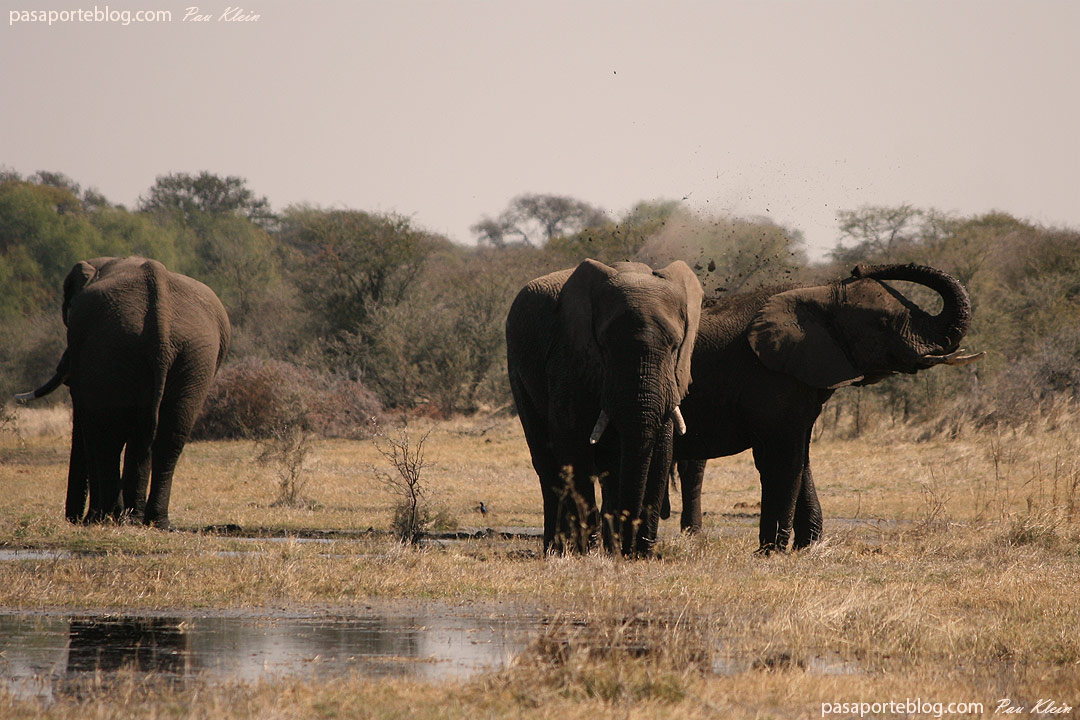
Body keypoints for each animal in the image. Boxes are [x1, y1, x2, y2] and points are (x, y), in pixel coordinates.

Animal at [16, 257, 231, 529]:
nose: (72, 520)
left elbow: (90, 426)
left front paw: (95, 518)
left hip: (116, 348)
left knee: (108, 437)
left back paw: (111, 517)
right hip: (194, 355)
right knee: (167, 436)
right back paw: (150, 521)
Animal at [506, 258, 703, 556]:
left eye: (675, 346)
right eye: (605, 348)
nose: (629, 547)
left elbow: (661, 450)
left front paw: (641, 554)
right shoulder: (570, 358)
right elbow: (572, 444)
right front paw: (586, 552)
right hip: (517, 369)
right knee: (545, 459)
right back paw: (557, 549)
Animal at [672, 263, 982, 553]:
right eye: (884, 323)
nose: (858, 267)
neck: (820, 293)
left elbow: (801, 459)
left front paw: (807, 547)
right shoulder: (769, 377)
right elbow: (783, 458)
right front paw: (770, 553)